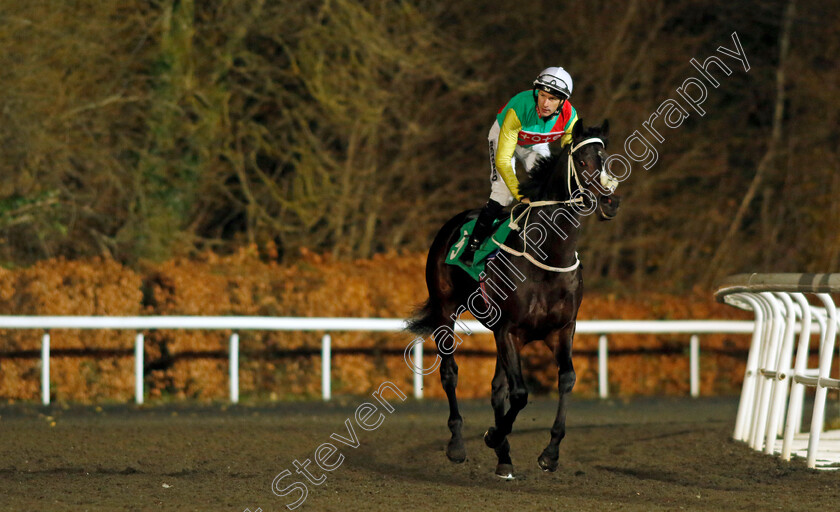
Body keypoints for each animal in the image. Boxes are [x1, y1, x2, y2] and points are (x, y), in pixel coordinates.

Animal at [406, 121, 624, 480]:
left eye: (606, 159)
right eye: (582, 162)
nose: (610, 200)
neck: (548, 256)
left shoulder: (561, 329)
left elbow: (565, 379)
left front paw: (549, 454)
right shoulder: (510, 331)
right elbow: (519, 393)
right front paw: (493, 436)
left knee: (497, 388)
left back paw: (504, 458)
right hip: (446, 310)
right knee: (450, 373)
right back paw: (457, 444)